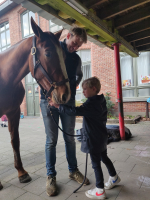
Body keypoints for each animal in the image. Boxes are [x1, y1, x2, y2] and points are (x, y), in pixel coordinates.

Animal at [0, 16, 71, 189]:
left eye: (64, 56)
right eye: (48, 53)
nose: (65, 94)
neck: (4, 78)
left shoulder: (13, 112)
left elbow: (15, 141)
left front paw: (21, 172)